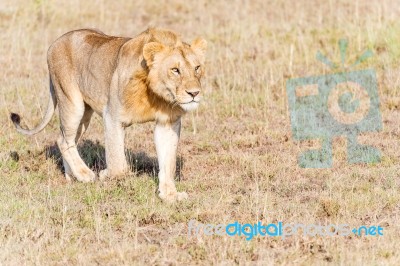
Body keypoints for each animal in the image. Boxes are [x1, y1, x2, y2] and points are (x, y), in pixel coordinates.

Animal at [10, 27, 208, 202]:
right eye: (175, 70)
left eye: (197, 68)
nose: (194, 93)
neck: (155, 94)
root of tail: (56, 41)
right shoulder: (112, 116)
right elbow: (119, 164)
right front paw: (105, 174)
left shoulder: (168, 122)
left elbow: (168, 162)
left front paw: (170, 195)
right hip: (72, 103)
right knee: (63, 141)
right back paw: (84, 174)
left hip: (84, 115)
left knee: (66, 138)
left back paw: (73, 176)